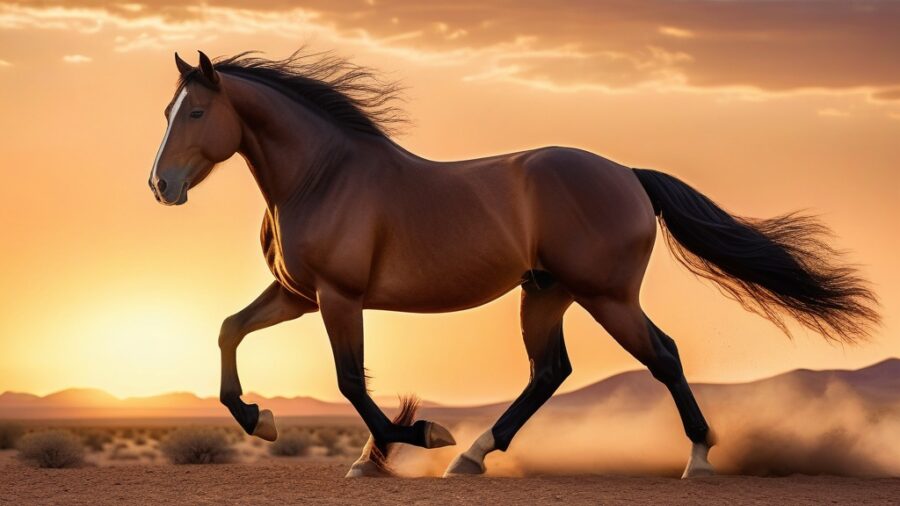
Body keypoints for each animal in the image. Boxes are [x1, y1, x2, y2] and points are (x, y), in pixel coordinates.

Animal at [148, 50, 879, 479]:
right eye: (167, 110)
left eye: (199, 111)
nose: (160, 186)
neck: (324, 177)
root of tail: (628, 175)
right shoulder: (297, 294)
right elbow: (229, 332)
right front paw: (263, 421)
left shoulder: (338, 297)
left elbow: (351, 381)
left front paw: (414, 436)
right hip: (547, 294)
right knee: (549, 371)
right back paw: (475, 456)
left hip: (607, 295)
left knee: (662, 355)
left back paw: (697, 458)